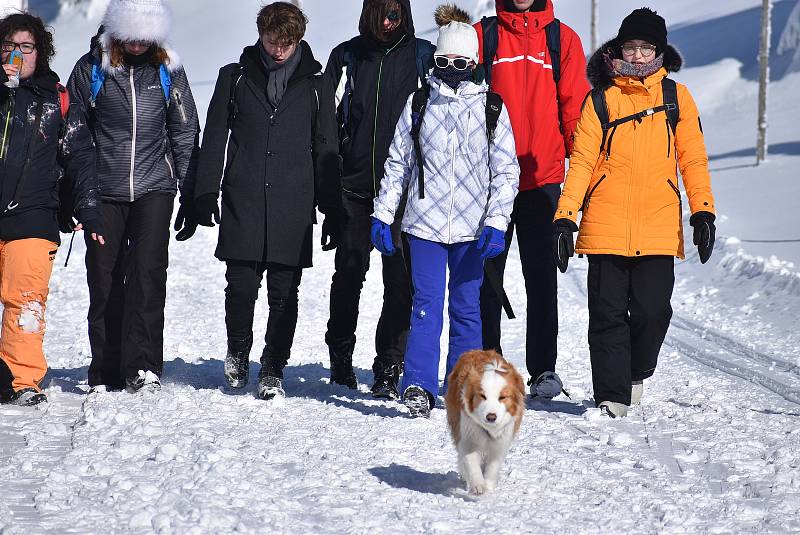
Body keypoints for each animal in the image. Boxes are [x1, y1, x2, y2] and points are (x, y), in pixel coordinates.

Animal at [444, 350, 524, 496]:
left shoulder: (500, 442)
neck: (489, 429)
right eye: (482, 396)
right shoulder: (468, 436)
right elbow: (471, 463)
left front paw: (489, 486)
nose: (491, 417)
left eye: (502, 397)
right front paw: (478, 486)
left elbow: (493, 467)